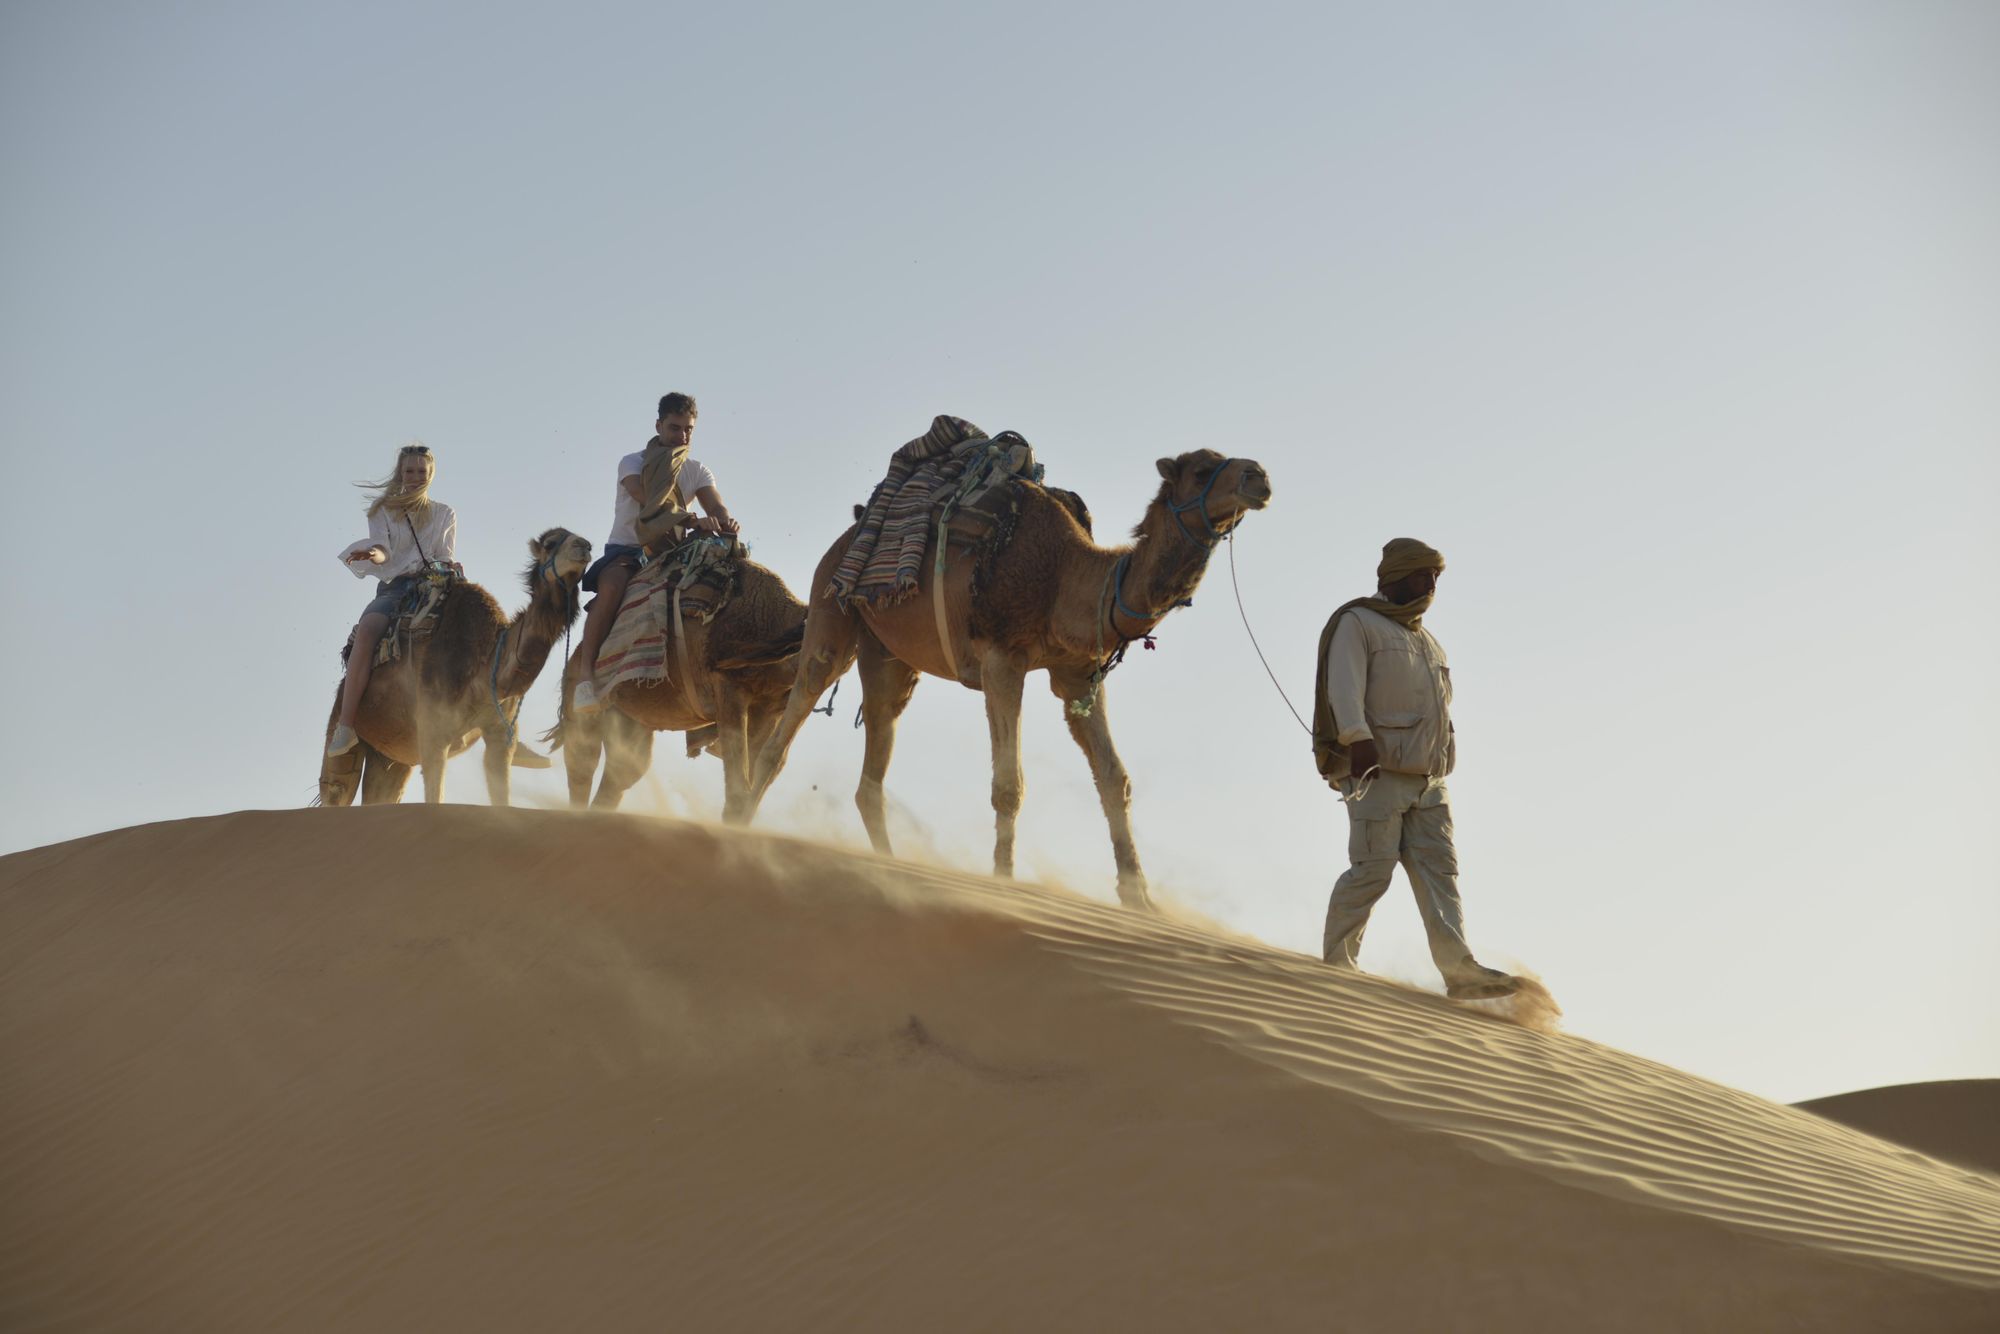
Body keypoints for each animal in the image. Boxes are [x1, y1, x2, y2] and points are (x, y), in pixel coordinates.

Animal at [316, 528, 588, 804]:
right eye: (550, 543)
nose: (584, 546)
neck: (486, 662)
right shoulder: (433, 732)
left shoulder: (501, 734)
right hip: (344, 727)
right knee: (337, 787)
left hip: (390, 758)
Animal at [548, 548, 812, 820]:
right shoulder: (729, 686)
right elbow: (739, 770)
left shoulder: (771, 706)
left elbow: (763, 771)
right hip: (583, 702)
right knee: (582, 761)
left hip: (631, 716)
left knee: (624, 770)